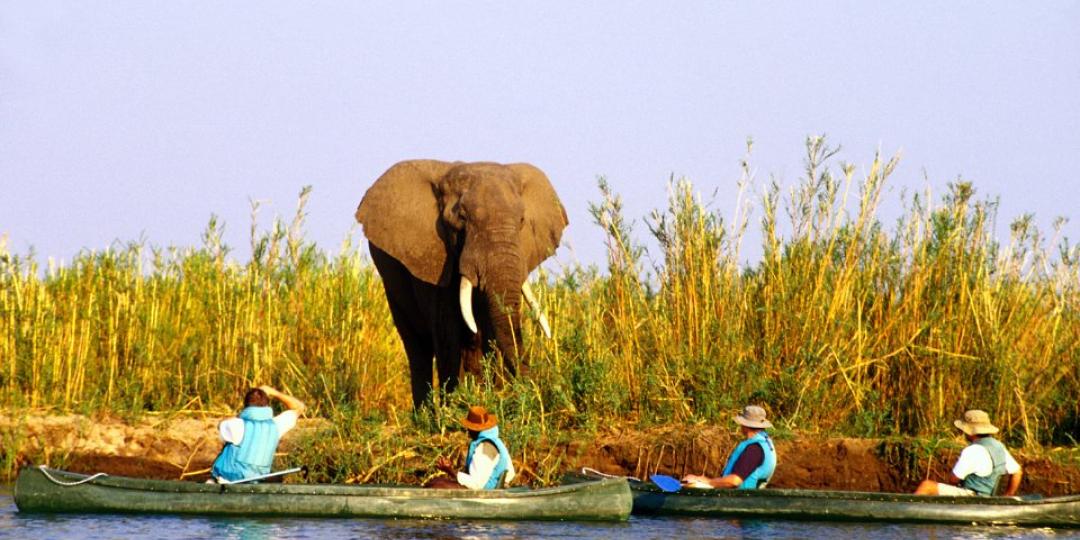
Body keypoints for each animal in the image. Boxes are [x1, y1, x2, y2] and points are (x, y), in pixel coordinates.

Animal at [358, 159, 570, 408]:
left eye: (521, 221)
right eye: (461, 217)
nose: (532, 394)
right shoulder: (434, 256)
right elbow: (447, 331)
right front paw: (456, 408)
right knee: (417, 347)